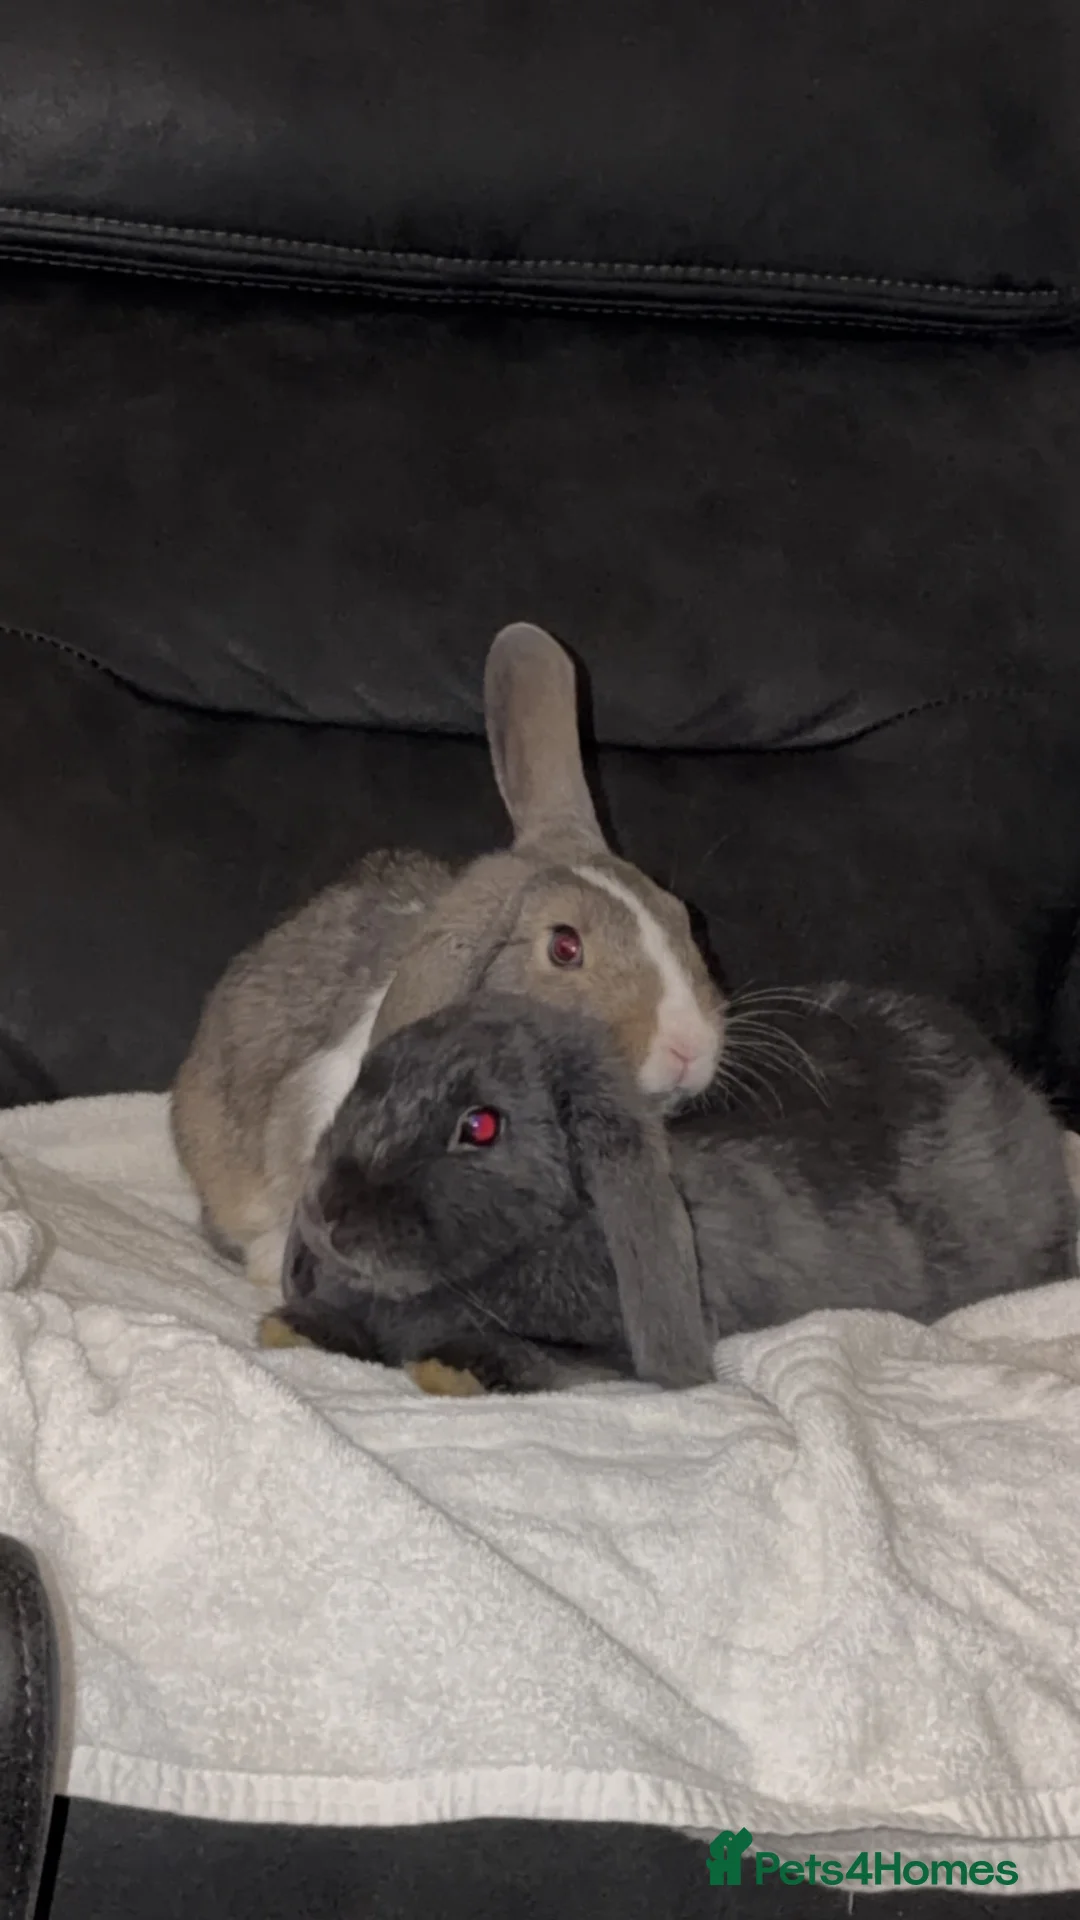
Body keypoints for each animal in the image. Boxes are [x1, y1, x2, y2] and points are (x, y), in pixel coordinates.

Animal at [260, 985, 1080, 1394]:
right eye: (363, 1085)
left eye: (481, 1126)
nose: (330, 1216)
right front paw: (293, 1325)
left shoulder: (607, 1352)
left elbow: (551, 1357)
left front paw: (457, 1365)